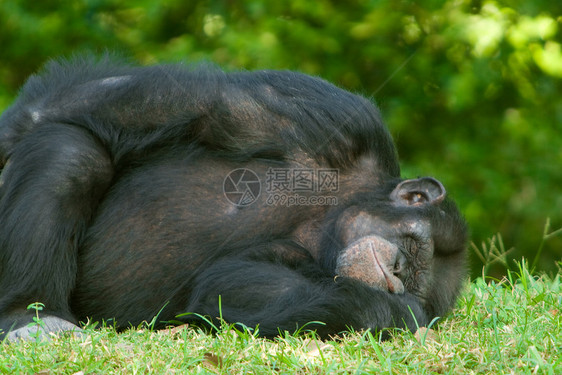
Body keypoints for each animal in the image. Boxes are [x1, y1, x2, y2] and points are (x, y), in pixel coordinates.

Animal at [0, 55, 466, 340]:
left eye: (417, 280)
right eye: (414, 248)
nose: (398, 273)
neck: (329, 216)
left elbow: (239, 284)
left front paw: (403, 313)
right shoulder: (338, 119)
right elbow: (185, 105)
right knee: (71, 153)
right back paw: (31, 314)